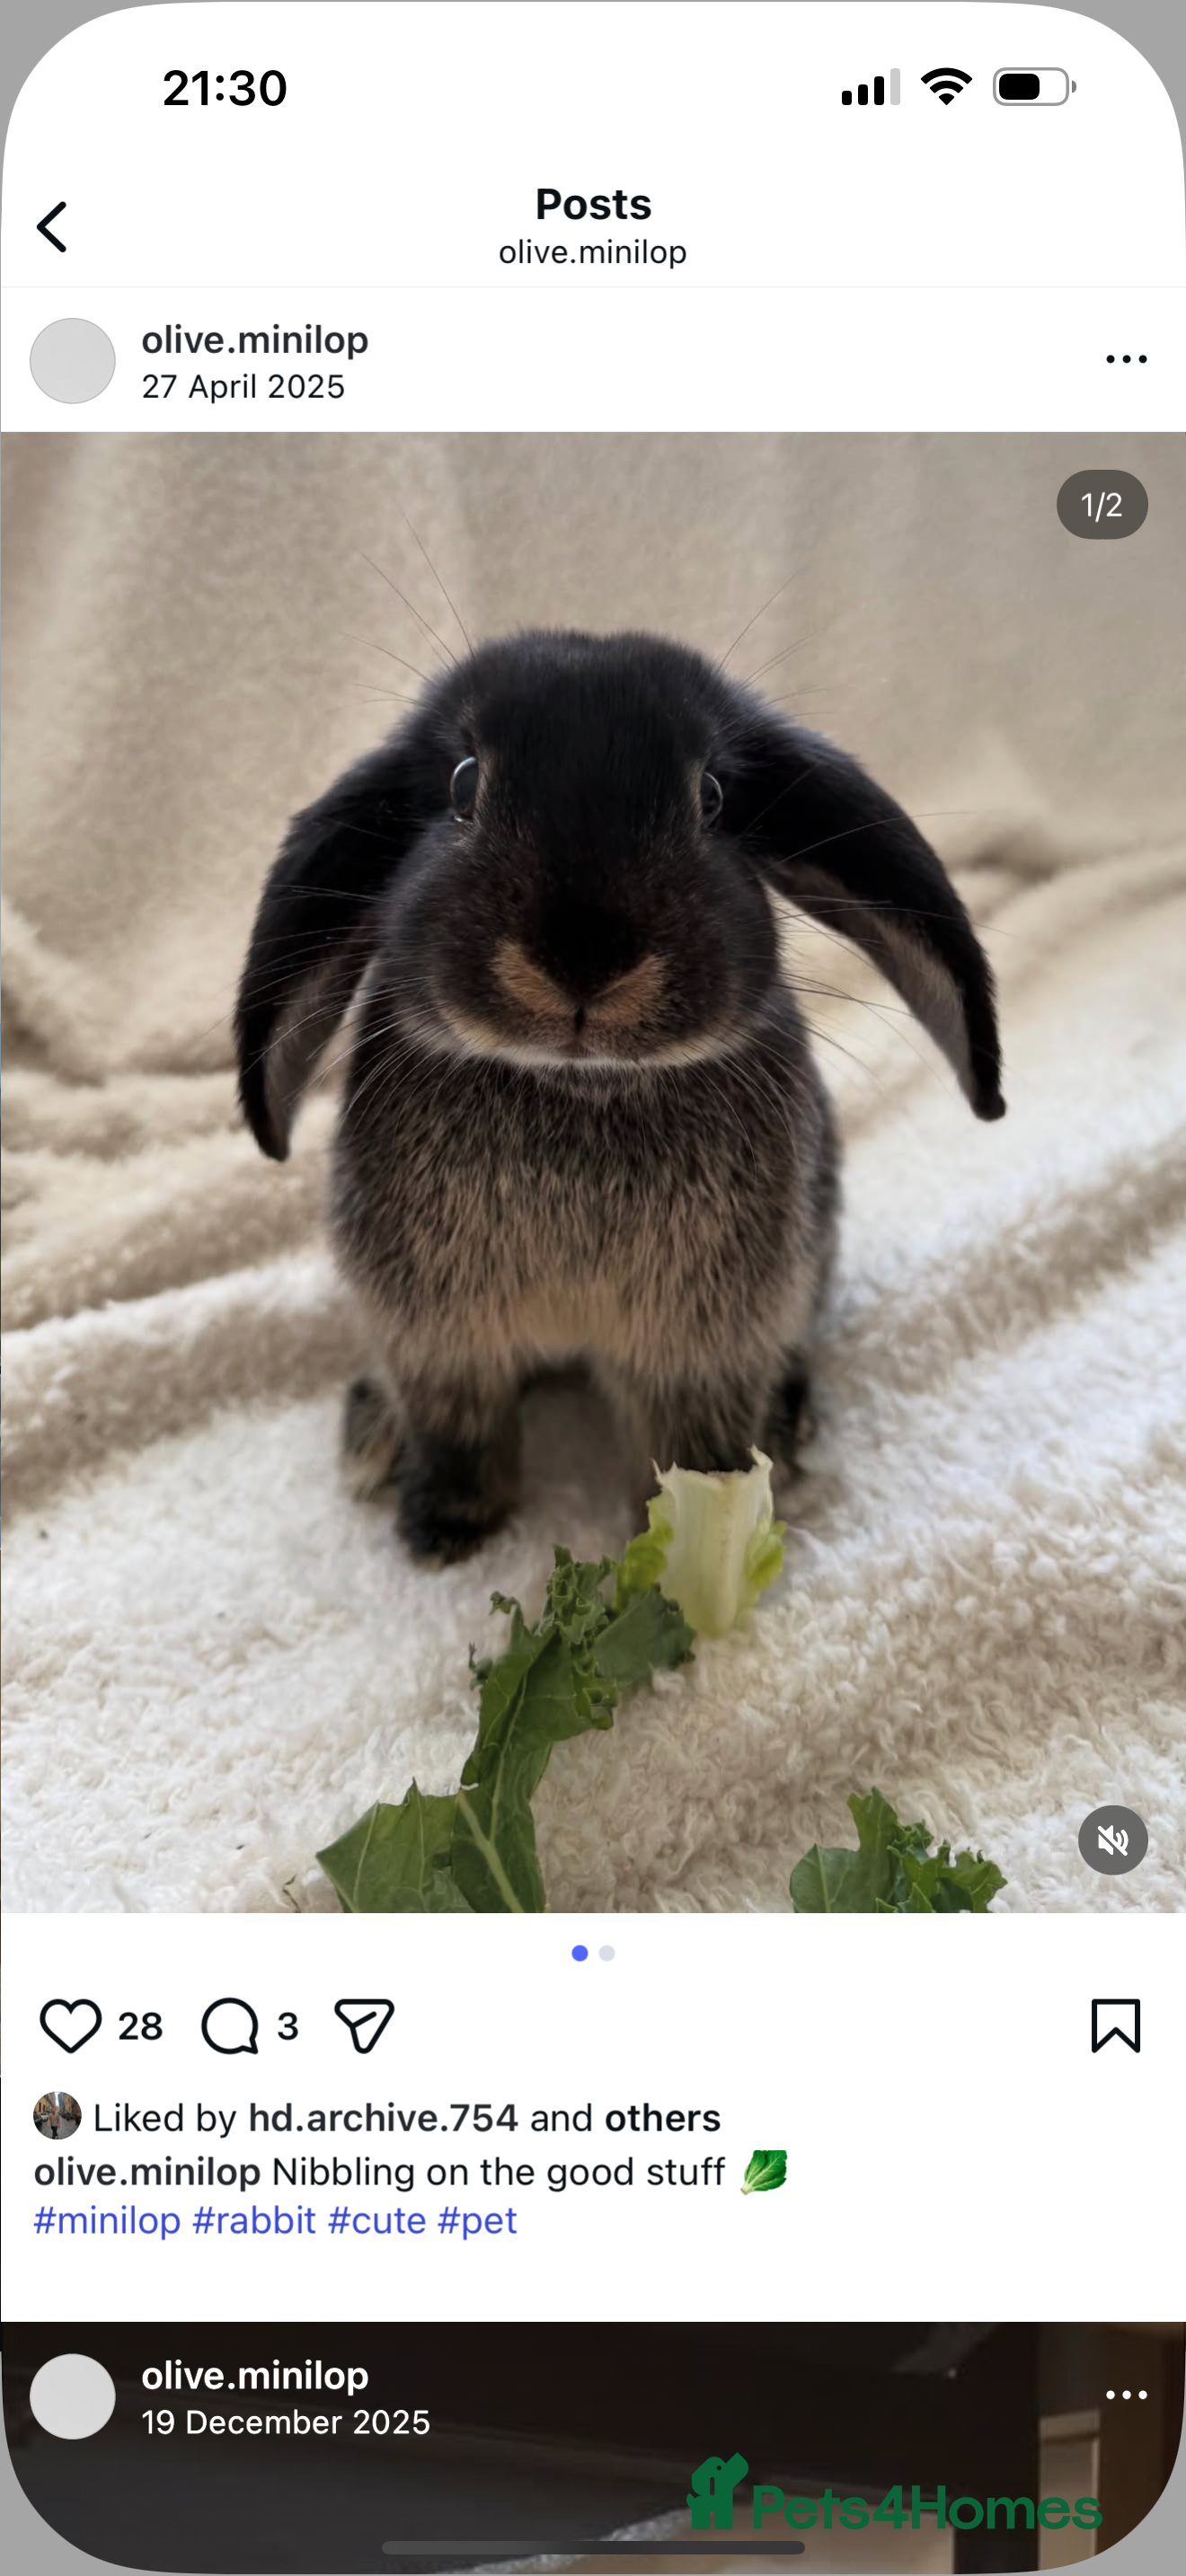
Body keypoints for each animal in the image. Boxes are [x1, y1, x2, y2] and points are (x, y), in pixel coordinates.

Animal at [236, 629, 1003, 1564]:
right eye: (463, 783)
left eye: (711, 796)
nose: (583, 958)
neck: (577, 1085)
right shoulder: (440, 1338)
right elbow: (459, 1430)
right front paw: (441, 1532)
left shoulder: (701, 1349)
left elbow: (686, 1449)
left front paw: (683, 1546)